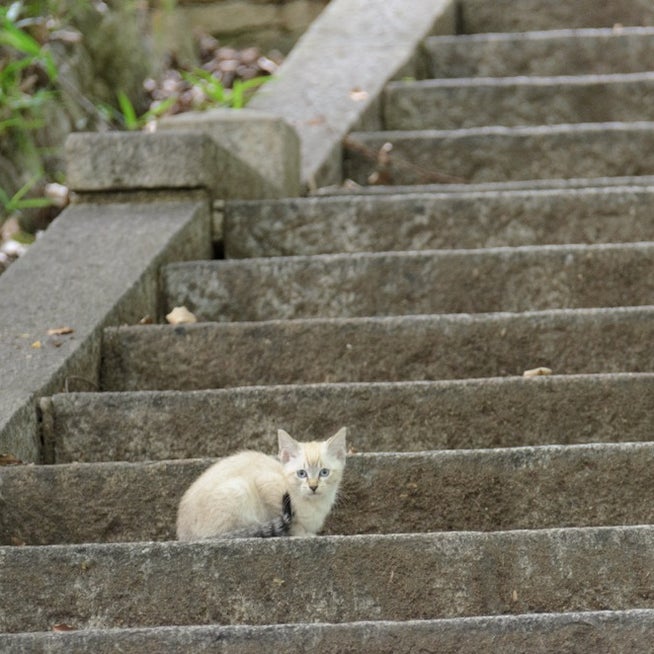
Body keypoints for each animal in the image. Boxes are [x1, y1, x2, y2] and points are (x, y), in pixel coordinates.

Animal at [174, 428, 348, 540]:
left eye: (324, 472)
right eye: (301, 473)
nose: (313, 486)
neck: (314, 505)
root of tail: (183, 535)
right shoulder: (266, 484)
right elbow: (292, 520)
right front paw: (302, 534)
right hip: (239, 489)